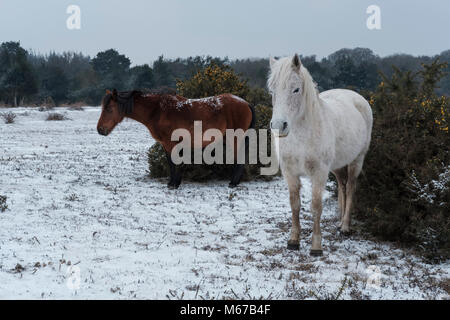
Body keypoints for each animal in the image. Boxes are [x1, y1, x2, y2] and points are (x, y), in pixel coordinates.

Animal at [97, 89, 255, 189]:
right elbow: (172, 162)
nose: (100, 130)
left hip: (235, 139)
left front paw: (173, 184)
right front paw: (173, 182)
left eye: (109, 109)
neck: (157, 111)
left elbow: (173, 163)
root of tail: (245, 103)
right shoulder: (166, 144)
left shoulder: (169, 143)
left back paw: (233, 183)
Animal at [268, 54, 372, 255]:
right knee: (342, 185)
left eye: (296, 89)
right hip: (337, 166)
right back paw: (339, 220)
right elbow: (295, 205)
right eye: (272, 90)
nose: (278, 126)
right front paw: (293, 240)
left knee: (350, 187)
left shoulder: (319, 173)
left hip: (357, 160)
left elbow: (316, 206)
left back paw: (345, 226)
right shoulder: (290, 173)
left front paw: (316, 246)